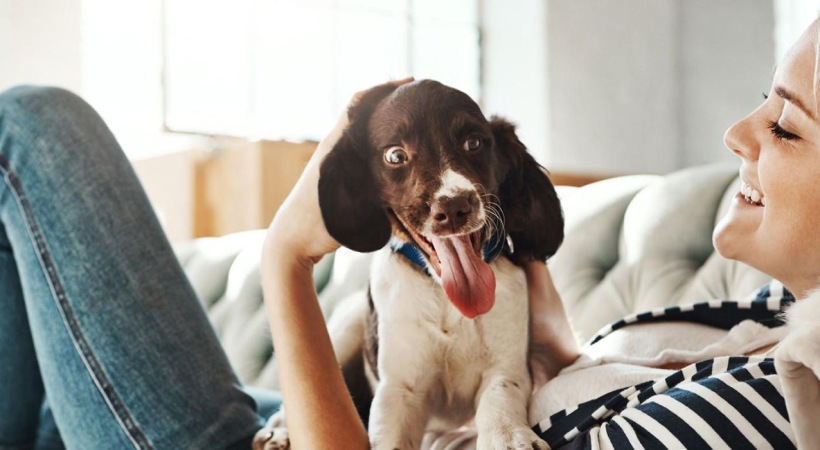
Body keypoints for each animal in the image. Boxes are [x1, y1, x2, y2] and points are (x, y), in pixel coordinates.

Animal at [256, 81, 564, 450]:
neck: (443, 295)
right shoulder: (399, 391)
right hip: (346, 326)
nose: (455, 206)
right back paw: (280, 431)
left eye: (474, 142)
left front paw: (508, 437)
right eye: (395, 156)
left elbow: (499, 401)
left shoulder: (506, 369)